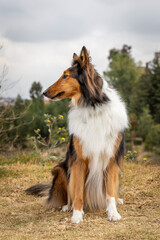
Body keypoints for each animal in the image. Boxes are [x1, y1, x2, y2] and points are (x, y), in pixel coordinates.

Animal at [26, 46, 129, 223]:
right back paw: (68, 206)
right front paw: (77, 215)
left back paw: (118, 200)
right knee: (69, 193)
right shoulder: (78, 160)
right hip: (60, 169)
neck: (92, 106)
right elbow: (78, 191)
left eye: (65, 75)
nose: (44, 92)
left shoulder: (111, 158)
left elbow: (110, 192)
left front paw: (113, 213)